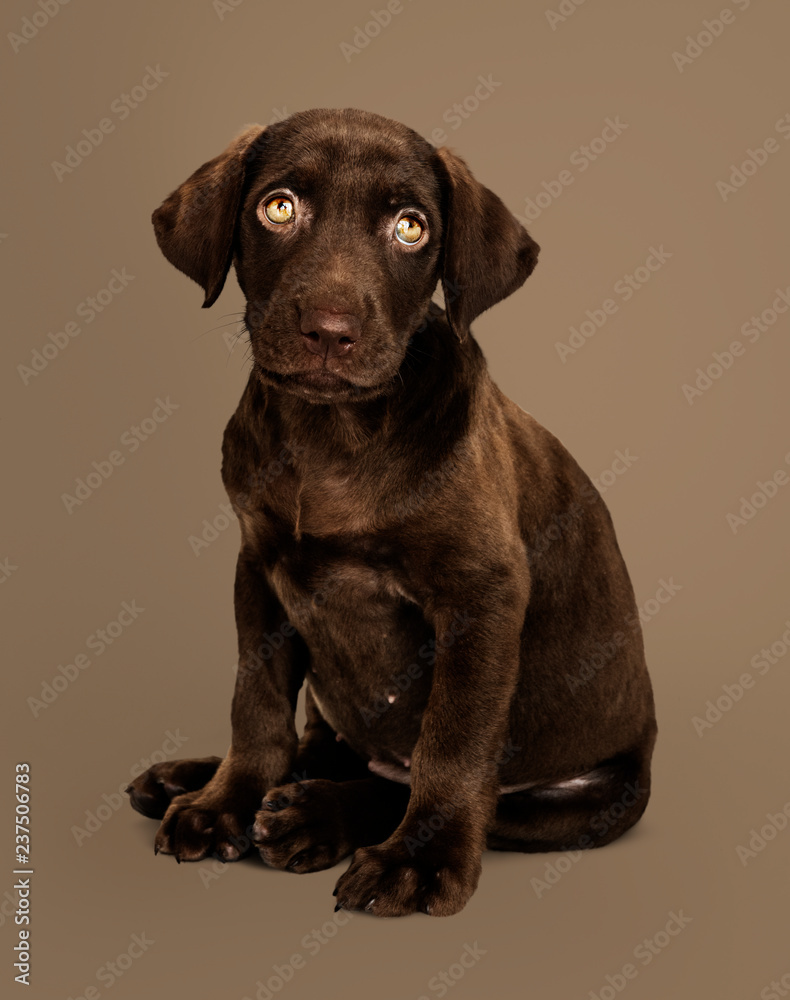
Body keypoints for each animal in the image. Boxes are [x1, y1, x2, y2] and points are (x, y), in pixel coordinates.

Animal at [127, 107, 660, 916]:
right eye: (278, 207)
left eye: (411, 227)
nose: (329, 330)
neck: (334, 439)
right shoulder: (259, 568)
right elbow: (256, 702)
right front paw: (226, 802)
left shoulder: (481, 595)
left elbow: (453, 742)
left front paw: (421, 862)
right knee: (316, 745)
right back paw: (195, 780)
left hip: (586, 796)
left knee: (444, 792)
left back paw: (315, 815)